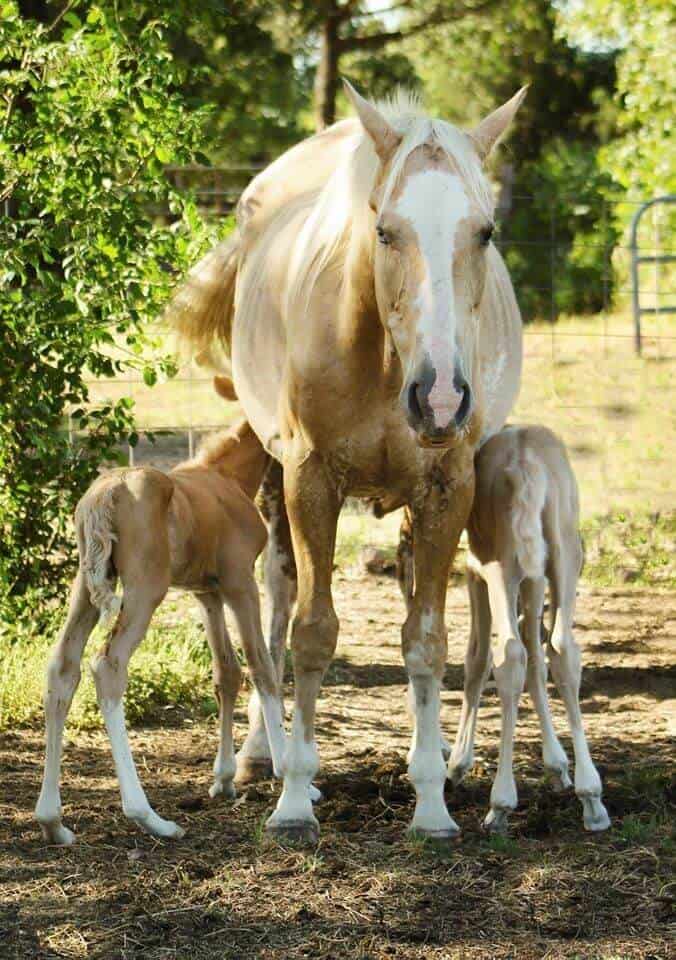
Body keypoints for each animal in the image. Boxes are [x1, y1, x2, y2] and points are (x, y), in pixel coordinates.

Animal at [36, 378, 286, 844]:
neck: (226, 477)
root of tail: (104, 494)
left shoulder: (206, 593)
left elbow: (226, 673)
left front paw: (223, 780)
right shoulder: (240, 582)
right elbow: (263, 667)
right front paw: (291, 776)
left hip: (86, 587)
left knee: (63, 667)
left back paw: (53, 822)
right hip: (144, 590)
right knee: (107, 666)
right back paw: (149, 817)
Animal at [172, 86, 524, 844]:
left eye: (484, 232)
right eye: (385, 231)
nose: (441, 397)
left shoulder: (446, 488)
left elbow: (426, 640)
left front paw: (430, 803)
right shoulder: (311, 480)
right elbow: (309, 633)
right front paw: (295, 800)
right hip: (276, 484)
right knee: (276, 609)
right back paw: (261, 756)